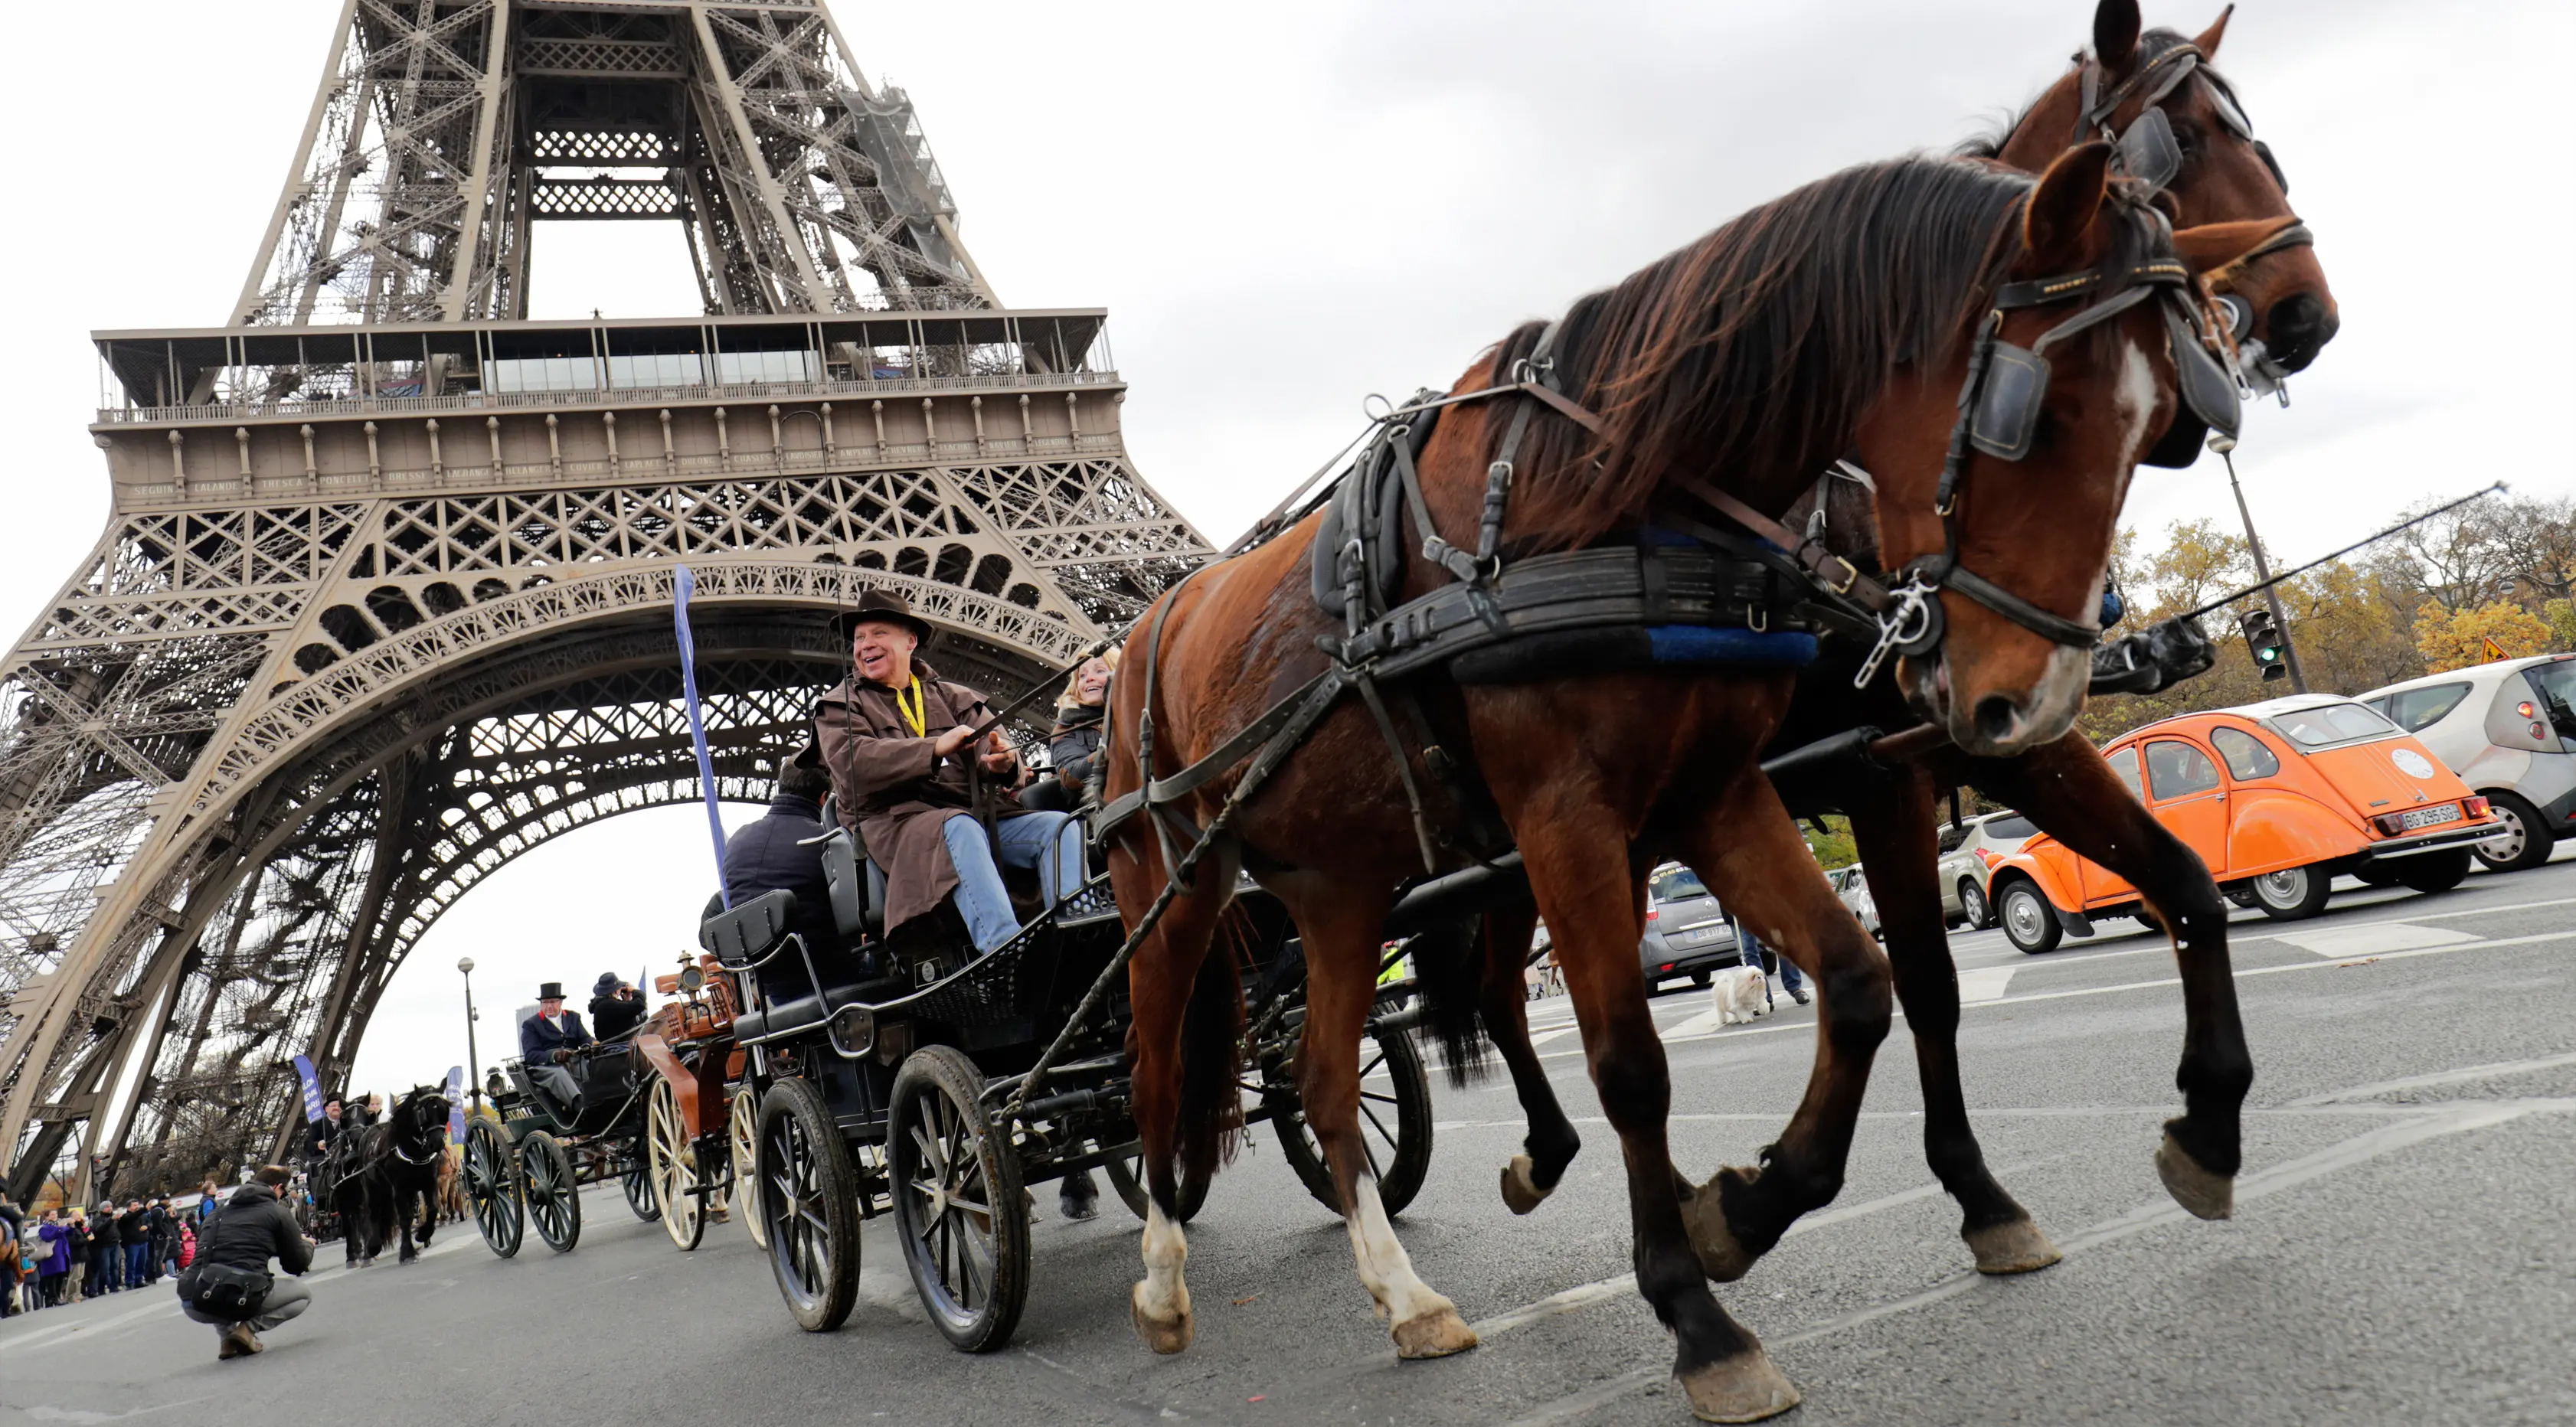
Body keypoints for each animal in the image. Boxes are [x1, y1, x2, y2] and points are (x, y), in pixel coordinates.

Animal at [1107, 144, 2235, 1411]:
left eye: (2164, 425)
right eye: (2037, 418)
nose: (2026, 686)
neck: (1604, 501)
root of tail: (1138, 633)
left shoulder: (1726, 789)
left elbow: (1893, 975)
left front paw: (1751, 1208)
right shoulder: (1601, 813)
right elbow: (1636, 1062)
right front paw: (1701, 1313)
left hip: (1341, 891)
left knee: (1334, 1083)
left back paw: (1412, 1295)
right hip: (1176, 889)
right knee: (1158, 1079)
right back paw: (1163, 1281)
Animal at [1442, 0, 2329, 1272]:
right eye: (2191, 136)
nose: (2308, 310)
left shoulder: (1984, 732)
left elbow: (2172, 885)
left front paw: (2189, 1128)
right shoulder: (1885, 770)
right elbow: (1924, 982)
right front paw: (1890, 1188)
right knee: (1505, 991)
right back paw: (1543, 1157)